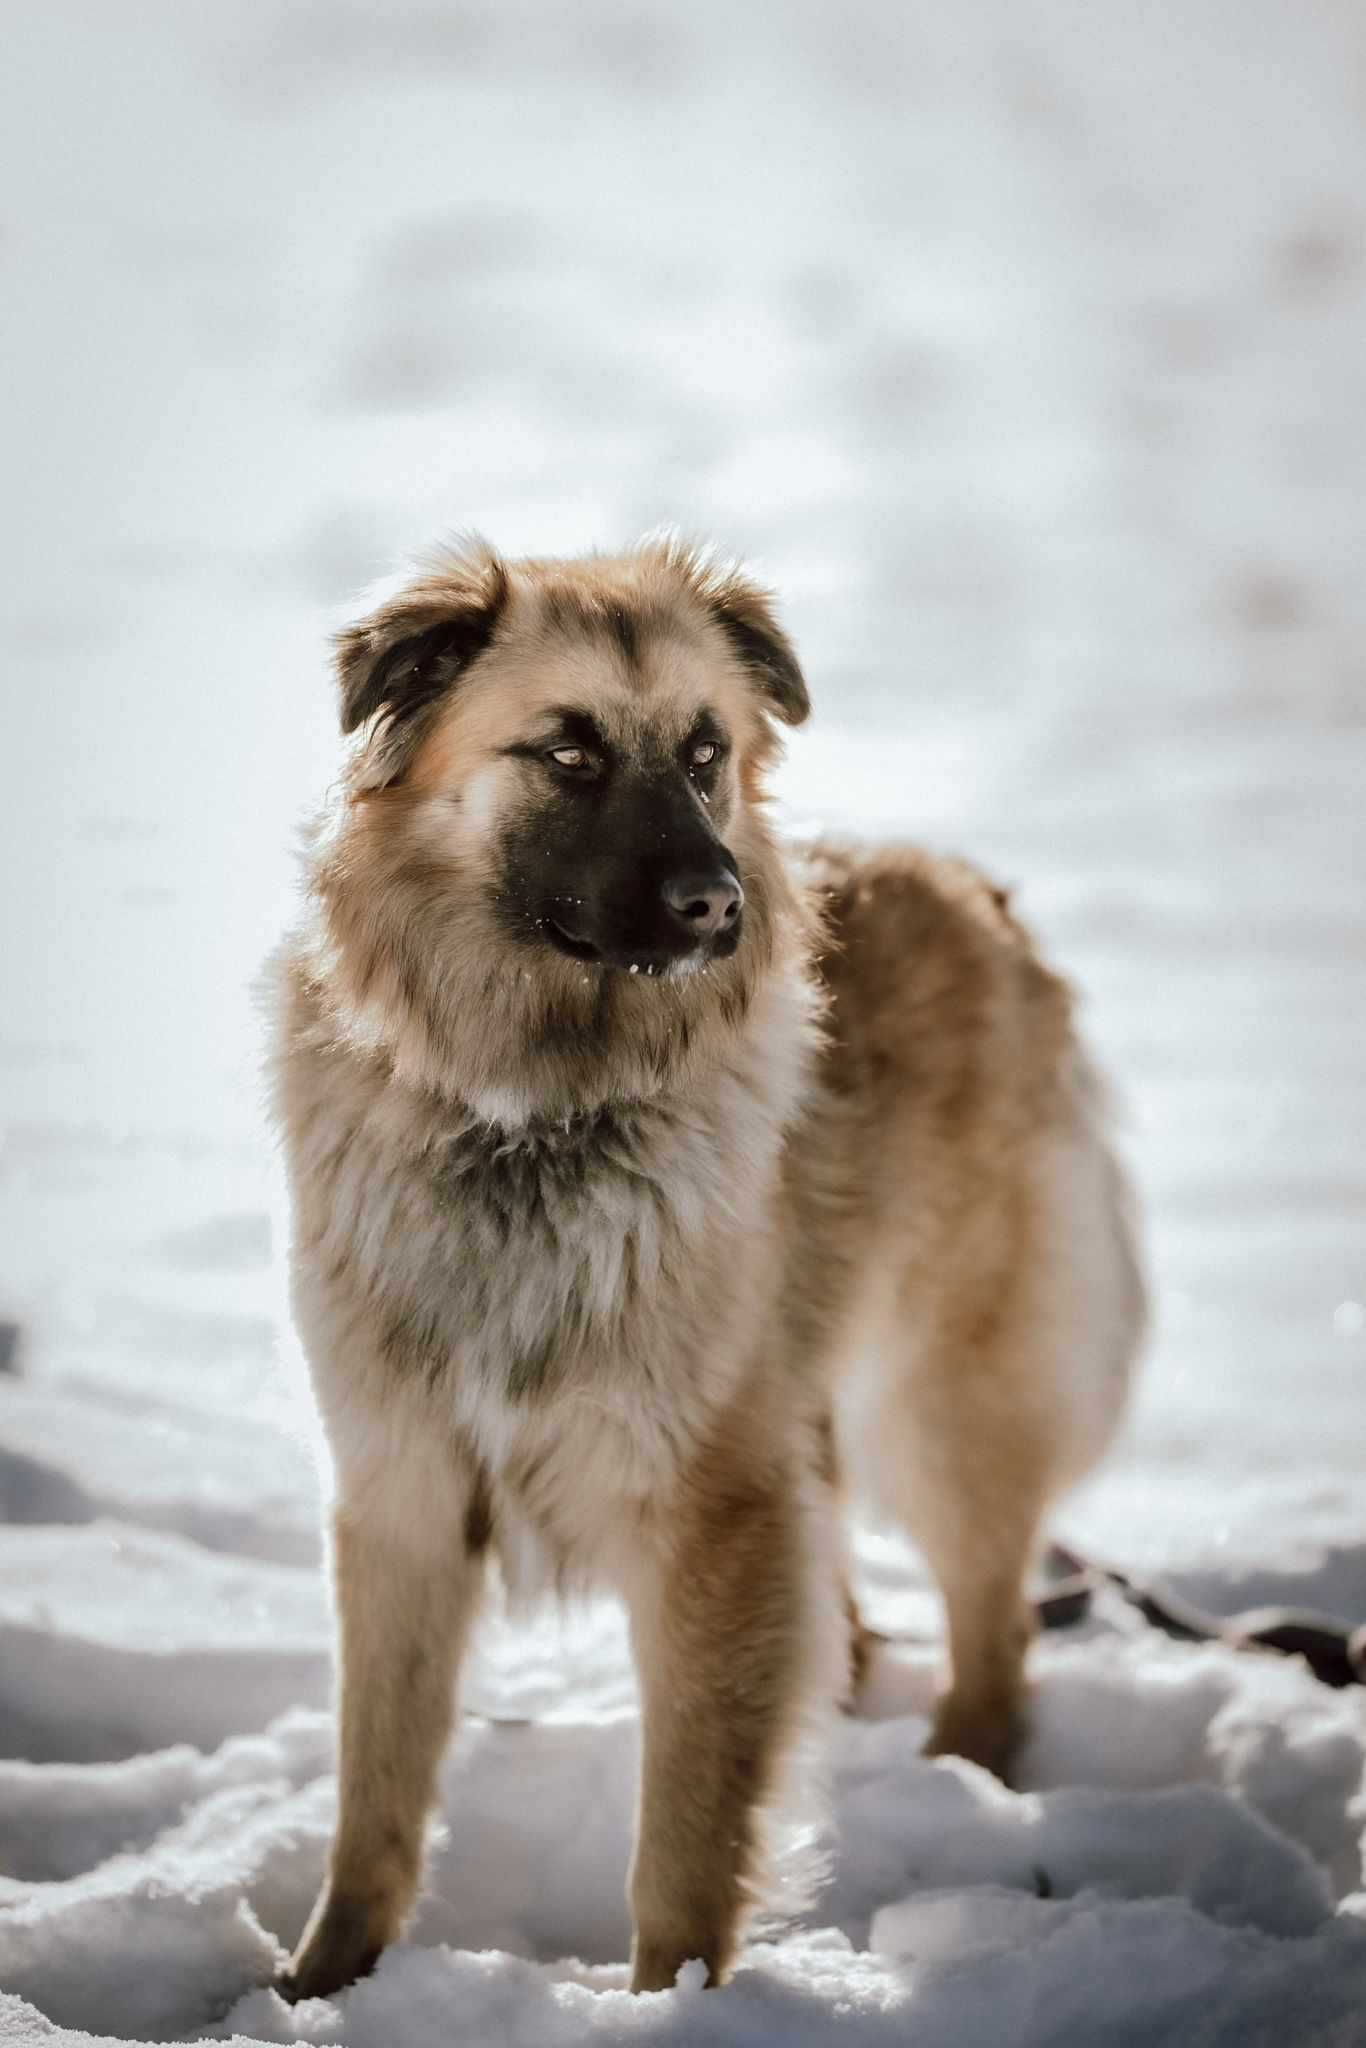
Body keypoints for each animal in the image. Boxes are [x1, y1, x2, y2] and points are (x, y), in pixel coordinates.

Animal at [270, 532, 1146, 1998]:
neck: (534, 1115)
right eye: (566, 751)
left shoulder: (705, 1509)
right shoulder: (401, 1491)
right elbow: (374, 1783)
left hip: (934, 1406)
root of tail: (974, 893)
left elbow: (684, 1825)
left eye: (702, 753)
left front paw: (671, 2001)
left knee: (992, 1631)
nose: (717, 903)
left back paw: (957, 1783)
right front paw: (324, 1982)